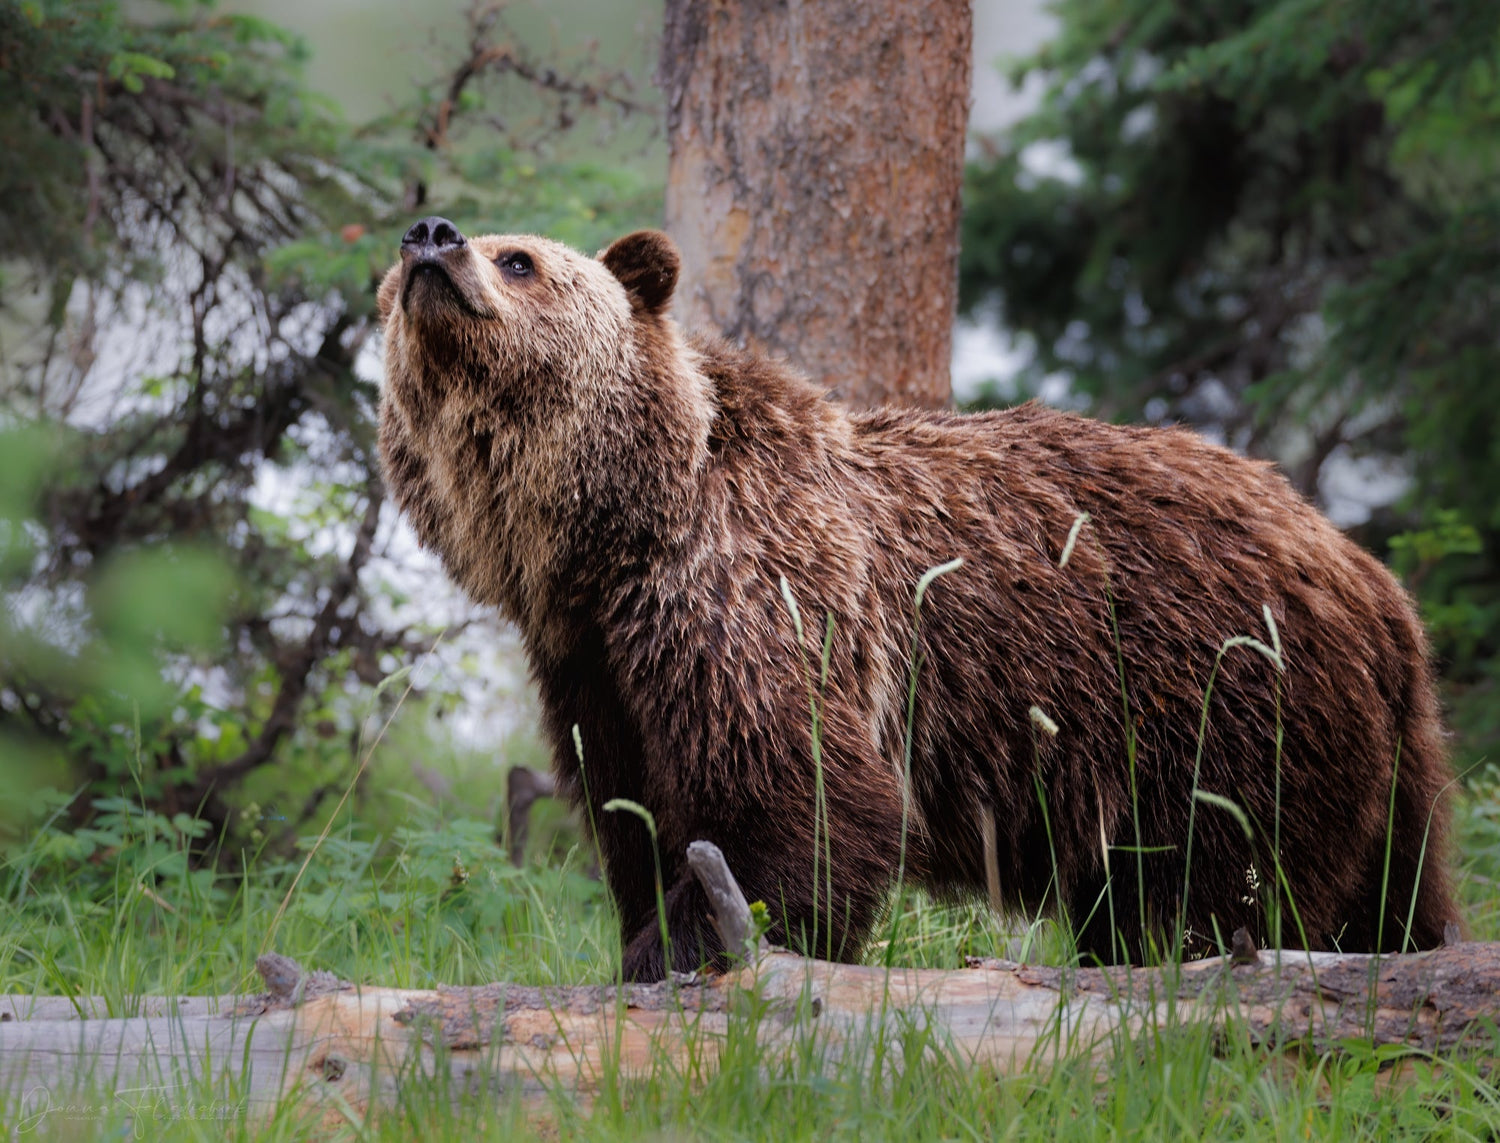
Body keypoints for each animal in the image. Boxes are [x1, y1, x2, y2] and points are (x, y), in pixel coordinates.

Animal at [372, 216, 1452, 978]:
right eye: (391, 280)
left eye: (520, 258)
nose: (431, 235)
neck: (619, 530)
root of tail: (1370, 576)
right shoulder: (595, 662)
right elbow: (635, 810)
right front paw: (655, 930)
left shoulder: (755, 597)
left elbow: (795, 794)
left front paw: (686, 948)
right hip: (1355, 748)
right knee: (1391, 888)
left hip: (1213, 699)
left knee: (1208, 881)